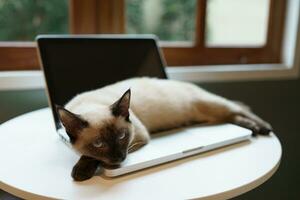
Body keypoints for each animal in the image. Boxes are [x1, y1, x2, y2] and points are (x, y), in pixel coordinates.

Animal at [56, 77, 272, 180]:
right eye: (99, 144)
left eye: (122, 136)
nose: (119, 157)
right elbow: (90, 155)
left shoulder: (139, 136)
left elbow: (90, 157)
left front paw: (80, 173)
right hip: (210, 115)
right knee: (234, 116)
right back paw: (253, 129)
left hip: (214, 105)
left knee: (241, 109)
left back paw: (263, 128)